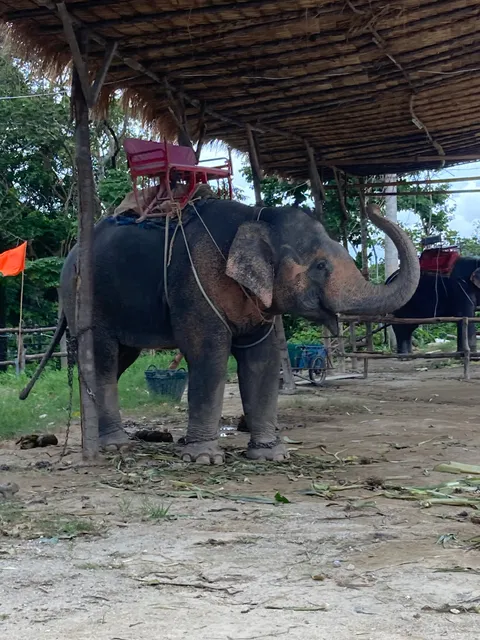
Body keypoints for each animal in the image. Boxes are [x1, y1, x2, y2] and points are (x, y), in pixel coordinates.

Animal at [20, 199, 420, 464]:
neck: (257, 218)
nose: (371, 203)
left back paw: (97, 438)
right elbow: (209, 356)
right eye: (320, 266)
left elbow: (262, 361)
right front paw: (204, 458)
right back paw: (116, 446)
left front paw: (271, 455)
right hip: (86, 300)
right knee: (103, 359)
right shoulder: (195, 286)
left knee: (118, 360)